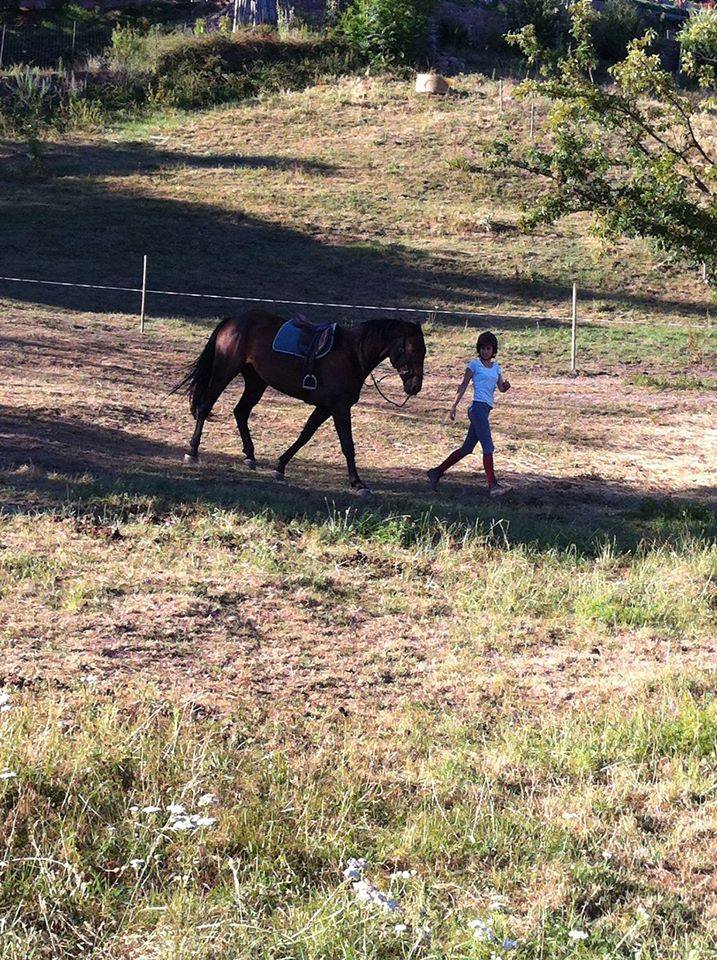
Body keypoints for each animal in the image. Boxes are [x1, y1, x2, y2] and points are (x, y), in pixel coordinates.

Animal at [174, 312, 426, 496]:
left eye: (424, 351)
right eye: (413, 349)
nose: (415, 387)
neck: (353, 354)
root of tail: (233, 321)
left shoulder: (325, 408)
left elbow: (305, 435)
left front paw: (280, 467)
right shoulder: (340, 408)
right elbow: (347, 444)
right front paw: (357, 483)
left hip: (256, 382)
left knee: (241, 412)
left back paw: (250, 456)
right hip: (224, 372)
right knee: (206, 406)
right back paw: (192, 451)